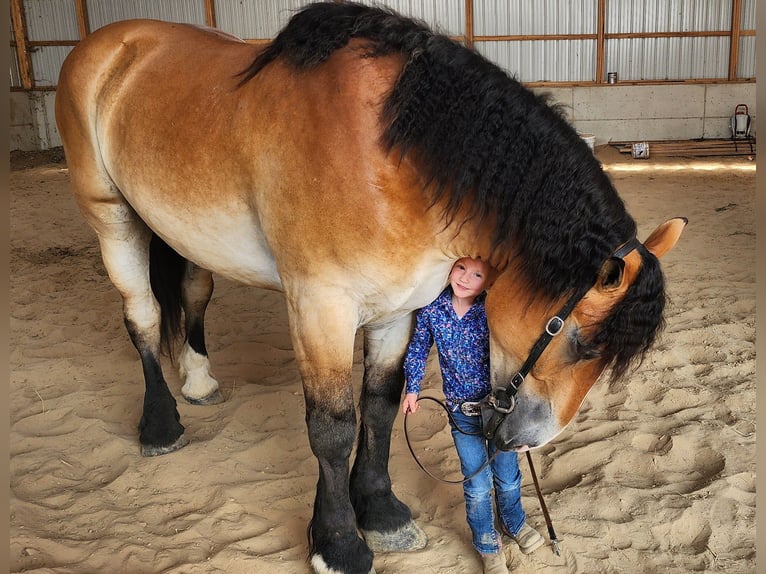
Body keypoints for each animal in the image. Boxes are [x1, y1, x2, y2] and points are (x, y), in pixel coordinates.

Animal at [55, 2, 688, 572]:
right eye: (579, 340)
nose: (527, 441)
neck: (395, 162)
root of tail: (110, 44)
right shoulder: (320, 307)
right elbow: (332, 429)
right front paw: (338, 543)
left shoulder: (399, 309)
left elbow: (380, 408)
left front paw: (381, 514)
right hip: (111, 219)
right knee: (141, 318)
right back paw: (160, 425)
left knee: (193, 295)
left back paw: (200, 380)